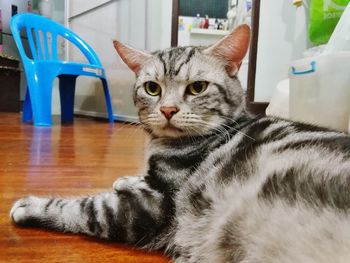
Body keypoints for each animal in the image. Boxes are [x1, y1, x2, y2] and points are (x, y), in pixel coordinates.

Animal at [9, 25, 350, 263]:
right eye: (152, 88)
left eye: (197, 87)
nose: (168, 110)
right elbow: (134, 178)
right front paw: (126, 178)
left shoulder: (149, 206)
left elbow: (83, 207)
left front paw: (31, 205)